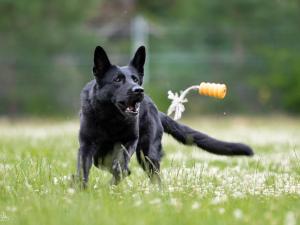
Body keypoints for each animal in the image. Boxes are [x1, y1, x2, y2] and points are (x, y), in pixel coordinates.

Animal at [77, 45, 253, 186]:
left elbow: (119, 165)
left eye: (135, 79)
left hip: (148, 154)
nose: (138, 90)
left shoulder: (130, 141)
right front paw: (81, 190)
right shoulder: (86, 144)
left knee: (153, 175)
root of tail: (155, 109)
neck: (111, 119)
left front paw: (115, 180)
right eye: (117, 79)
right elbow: (83, 169)